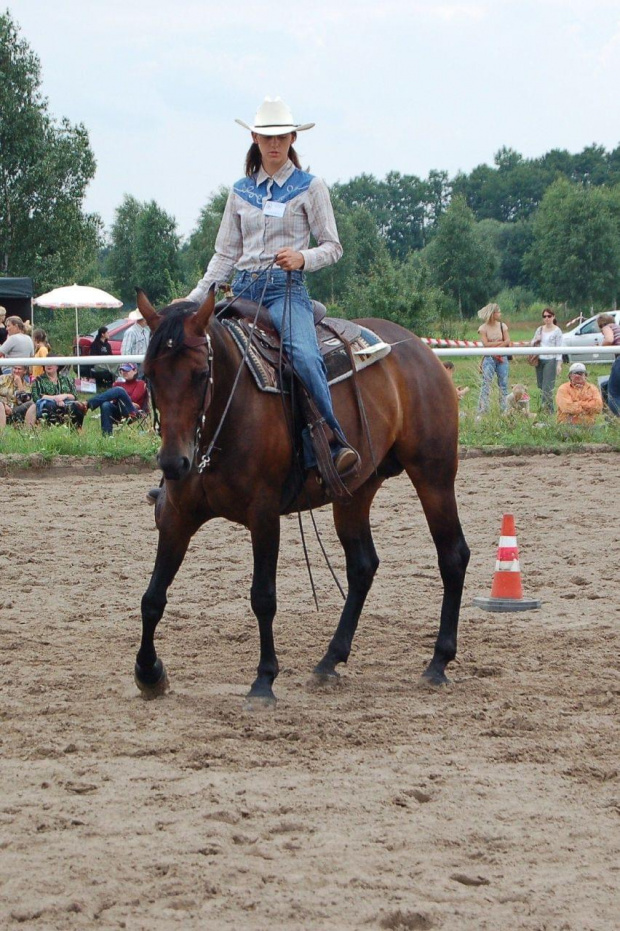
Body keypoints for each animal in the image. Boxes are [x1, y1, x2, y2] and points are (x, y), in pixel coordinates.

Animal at [133, 288, 468, 704]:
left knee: (453, 556)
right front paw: (149, 672)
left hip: (434, 475)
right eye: (149, 373)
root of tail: (420, 349)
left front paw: (264, 680)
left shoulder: (263, 515)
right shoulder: (177, 516)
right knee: (362, 566)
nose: (174, 462)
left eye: (199, 374)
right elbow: (153, 597)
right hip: (355, 491)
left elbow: (263, 597)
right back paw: (330, 660)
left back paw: (438, 662)